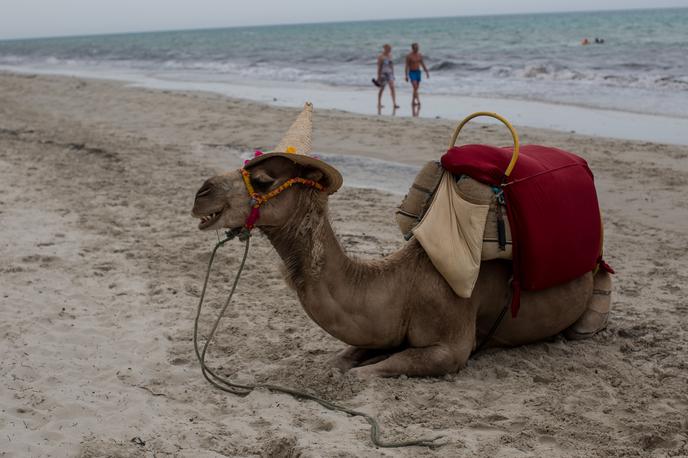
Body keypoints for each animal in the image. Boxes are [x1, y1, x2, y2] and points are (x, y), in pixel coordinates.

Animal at [189, 105, 612, 378]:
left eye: (263, 180)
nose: (200, 193)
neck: (402, 285)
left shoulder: (451, 345)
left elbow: (375, 370)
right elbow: (343, 359)